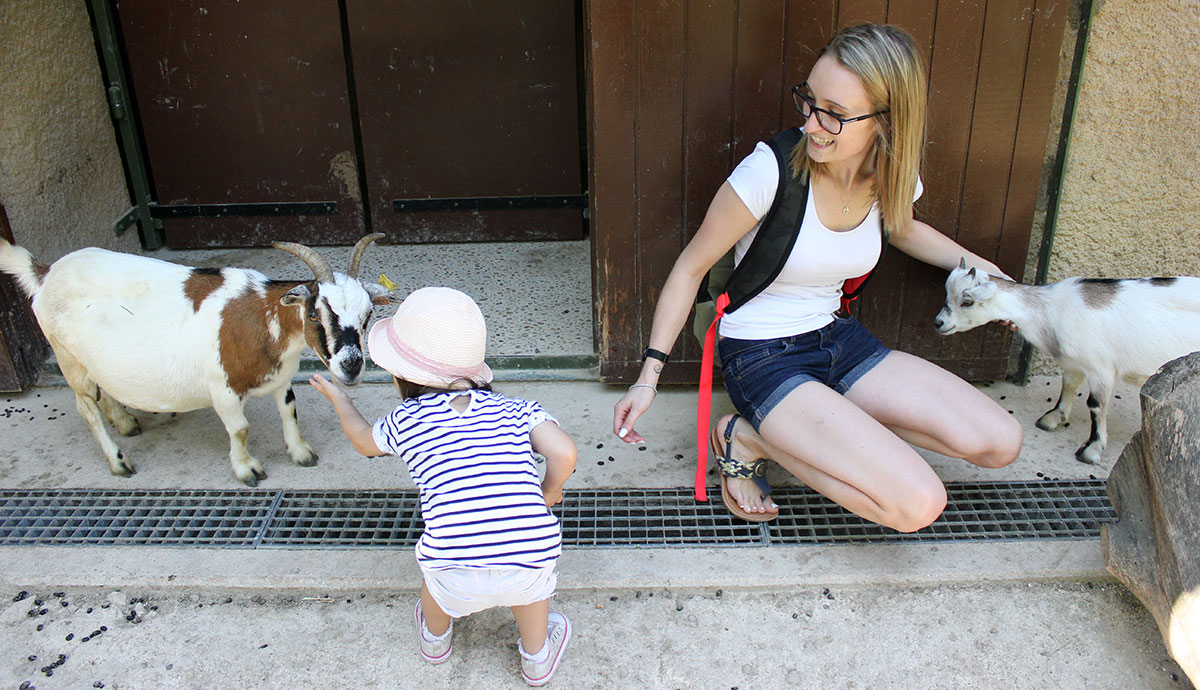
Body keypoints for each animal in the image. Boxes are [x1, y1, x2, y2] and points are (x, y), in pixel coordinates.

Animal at [0, 235, 391, 489]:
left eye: (368, 314)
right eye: (314, 314)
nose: (352, 366)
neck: (261, 318)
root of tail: (46, 272)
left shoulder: (281, 378)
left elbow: (289, 411)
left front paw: (300, 453)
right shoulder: (223, 389)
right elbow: (240, 429)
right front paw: (248, 470)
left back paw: (125, 422)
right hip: (68, 360)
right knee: (86, 408)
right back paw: (118, 460)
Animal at [936, 261, 1200, 468]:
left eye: (968, 302)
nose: (939, 323)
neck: (1050, 310)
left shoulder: (1101, 368)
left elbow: (1096, 405)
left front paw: (1091, 450)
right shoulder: (1074, 364)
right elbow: (1069, 387)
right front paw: (1053, 418)